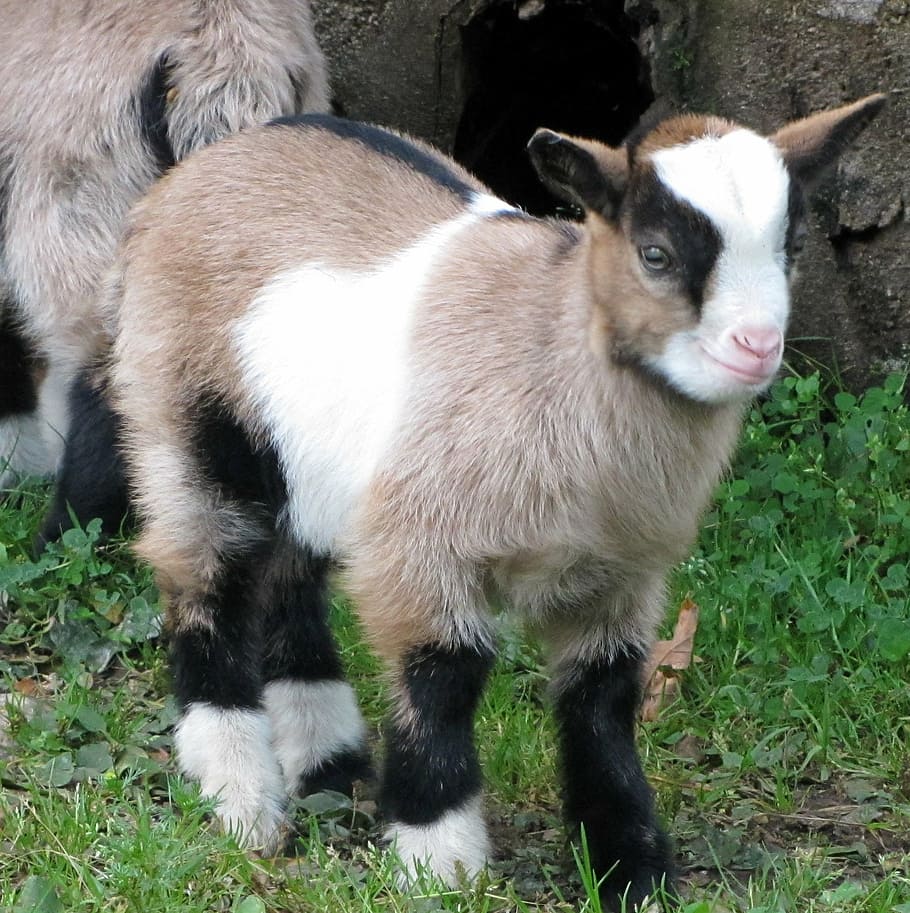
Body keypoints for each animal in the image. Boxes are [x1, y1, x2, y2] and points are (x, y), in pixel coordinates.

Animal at [106, 95, 885, 909]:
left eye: (792, 245)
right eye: (656, 255)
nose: (755, 347)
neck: (554, 348)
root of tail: (218, 157)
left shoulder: (620, 575)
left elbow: (600, 705)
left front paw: (629, 867)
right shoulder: (422, 549)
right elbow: (443, 680)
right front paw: (438, 859)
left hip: (312, 473)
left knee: (290, 584)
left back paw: (332, 773)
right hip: (185, 420)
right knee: (203, 582)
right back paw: (241, 798)